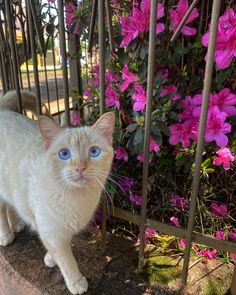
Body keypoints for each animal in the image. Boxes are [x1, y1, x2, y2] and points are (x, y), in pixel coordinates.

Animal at [0, 91, 114, 294]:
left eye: (94, 152)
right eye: (64, 154)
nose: (80, 167)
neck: (77, 198)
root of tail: (3, 110)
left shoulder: (61, 230)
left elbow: (56, 250)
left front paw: (49, 259)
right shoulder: (52, 232)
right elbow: (66, 260)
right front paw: (76, 282)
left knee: (10, 206)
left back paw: (17, 224)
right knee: (1, 212)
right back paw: (6, 235)